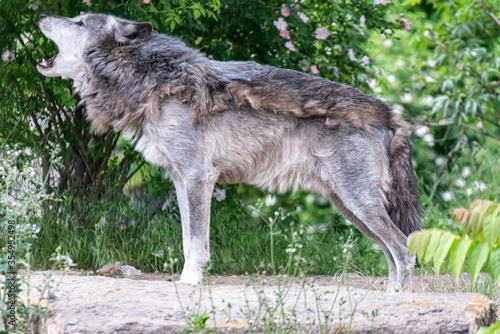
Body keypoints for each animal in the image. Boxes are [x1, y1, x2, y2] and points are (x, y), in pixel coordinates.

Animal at [37, 12, 420, 290]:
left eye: (80, 22)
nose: (40, 14)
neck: (150, 79)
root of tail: (389, 114)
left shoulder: (197, 177)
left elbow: (195, 243)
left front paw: (189, 283)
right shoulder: (182, 182)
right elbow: (189, 241)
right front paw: (188, 279)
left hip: (359, 203)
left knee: (403, 249)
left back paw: (396, 296)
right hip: (351, 207)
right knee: (393, 251)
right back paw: (388, 292)